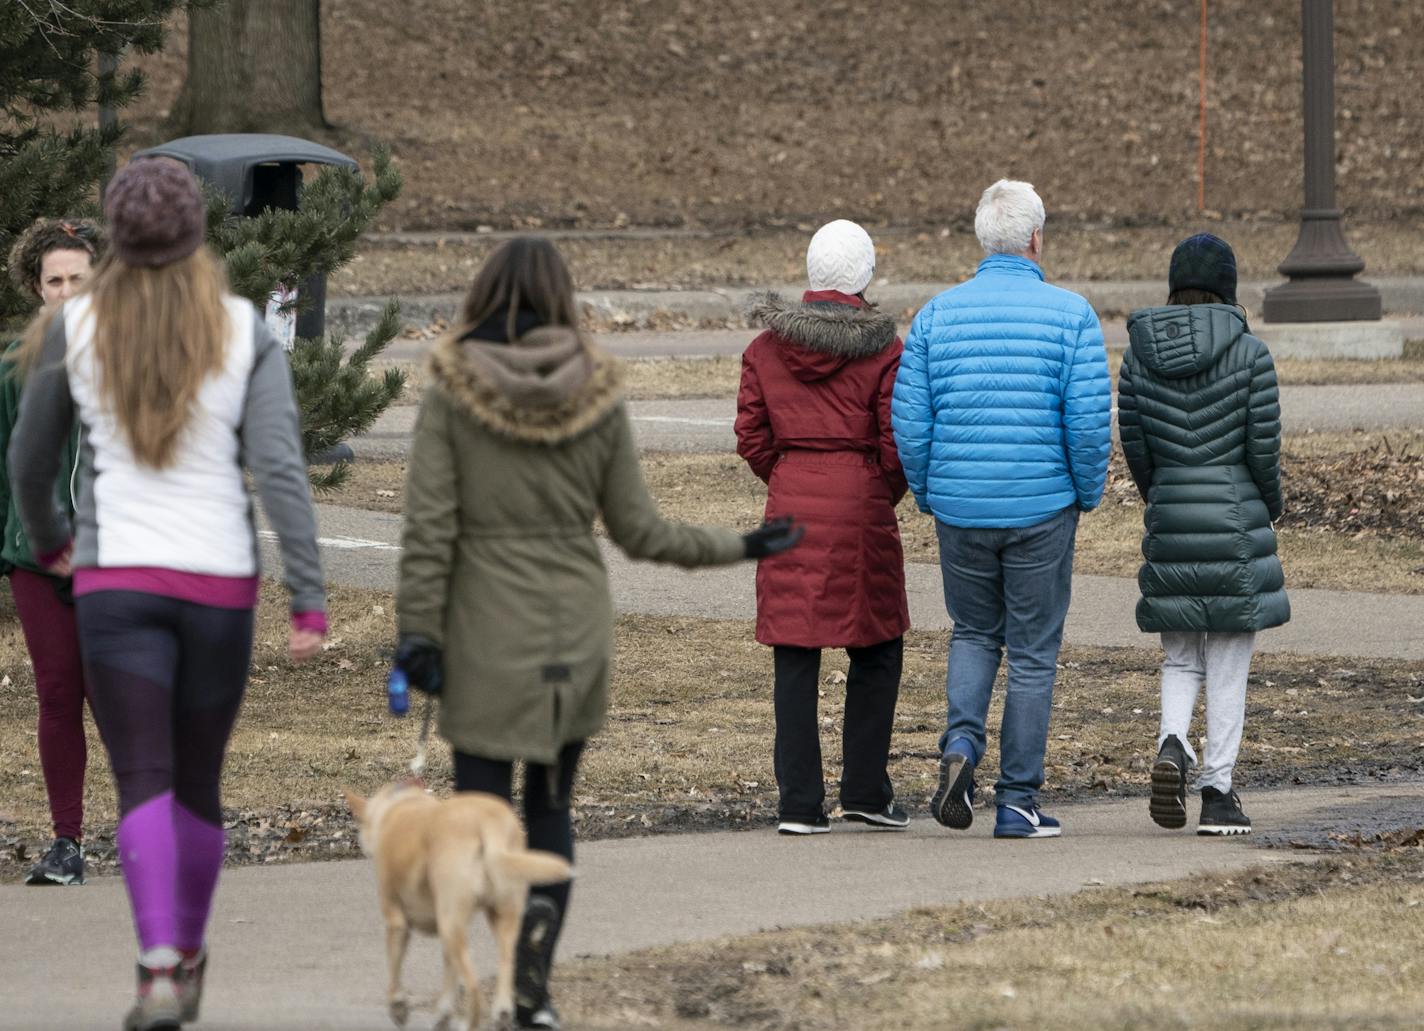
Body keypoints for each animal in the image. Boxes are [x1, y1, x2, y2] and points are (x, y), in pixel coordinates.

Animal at [347, 786, 575, 1025]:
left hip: (451, 924)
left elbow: (394, 968)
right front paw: (443, 1014)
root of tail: (487, 821)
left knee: (474, 989)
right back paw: (504, 1011)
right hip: (501, 915)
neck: (399, 805)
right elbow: (449, 973)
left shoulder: (396, 922)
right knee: (506, 961)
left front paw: (398, 1006)